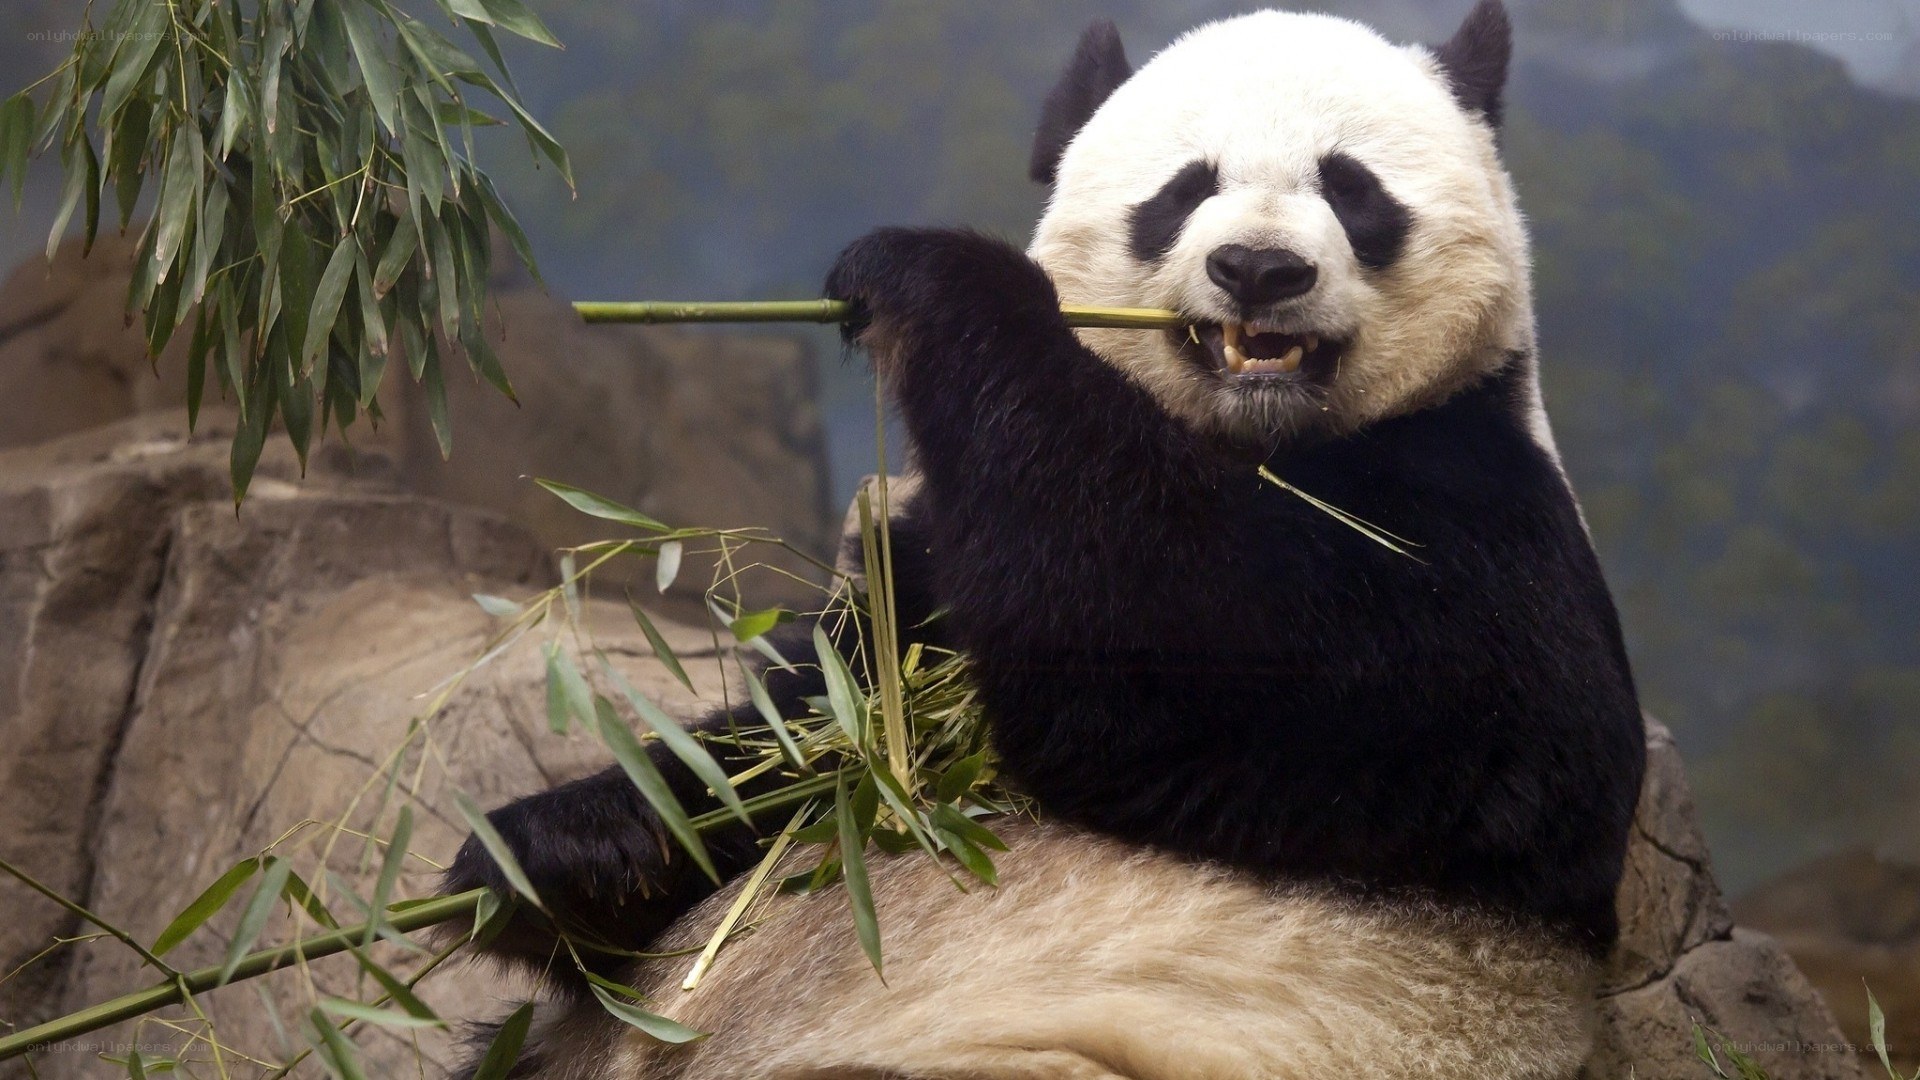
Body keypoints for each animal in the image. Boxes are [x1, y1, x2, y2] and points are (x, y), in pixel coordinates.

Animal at [444, 3, 1647, 1078]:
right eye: (1185, 189)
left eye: (1352, 190)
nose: (1261, 270)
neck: (1253, 440)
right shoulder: (932, 580)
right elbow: (818, 735)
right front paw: (559, 852)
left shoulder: (1485, 522)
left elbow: (1213, 651)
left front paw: (930, 274)